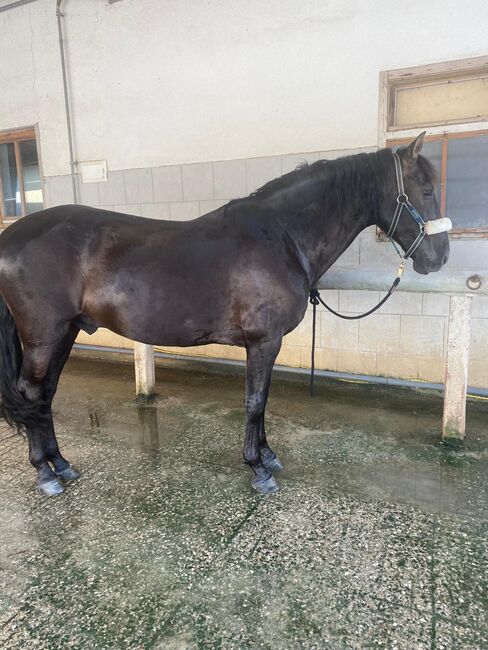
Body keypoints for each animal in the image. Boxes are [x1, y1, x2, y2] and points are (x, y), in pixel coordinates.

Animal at [0, 133, 450, 496]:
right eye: (427, 190)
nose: (440, 258)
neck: (281, 237)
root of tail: (10, 237)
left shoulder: (267, 343)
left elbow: (262, 401)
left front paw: (268, 456)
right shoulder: (264, 340)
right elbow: (255, 401)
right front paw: (258, 468)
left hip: (66, 332)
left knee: (45, 393)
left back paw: (61, 464)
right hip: (44, 336)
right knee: (31, 392)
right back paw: (45, 473)